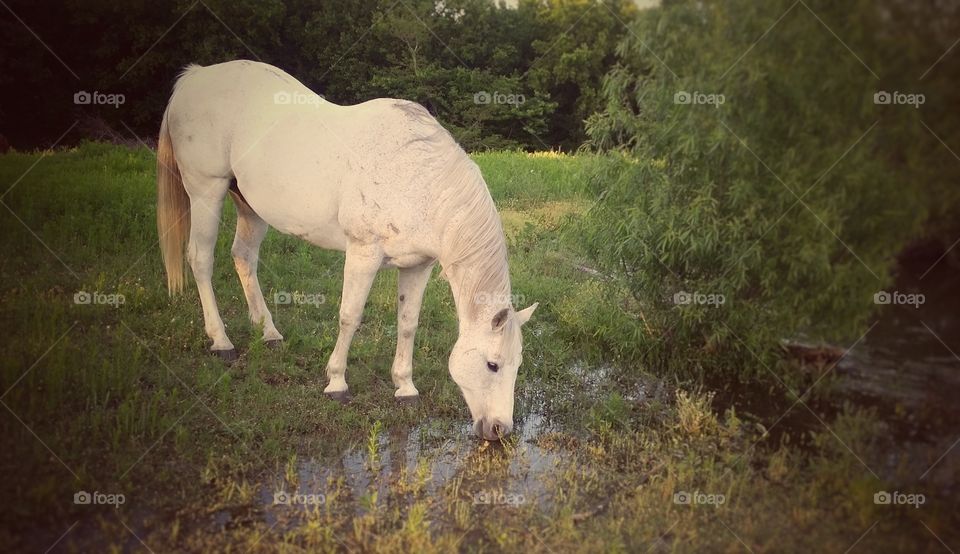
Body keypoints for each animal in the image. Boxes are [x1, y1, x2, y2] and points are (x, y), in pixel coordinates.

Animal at [154, 60, 536, 438]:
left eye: (517, 364)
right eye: (492, 364)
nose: (500, 429)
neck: (417, 176)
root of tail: (196, 76)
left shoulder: (416, 266)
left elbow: (408, 323)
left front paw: (405, 388)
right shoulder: (362, 255)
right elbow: (349, 317)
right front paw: (336, 383)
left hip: (250, 206)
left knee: (243, 257)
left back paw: (269, 332)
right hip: (207, 191)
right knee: (201, 259)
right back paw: (221, 341)